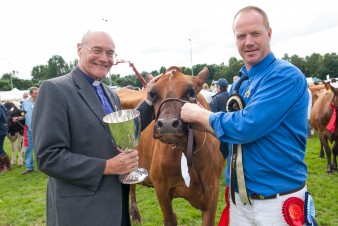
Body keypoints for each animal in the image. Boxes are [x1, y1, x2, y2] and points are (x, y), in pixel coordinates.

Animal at [116, 66, 224, 226]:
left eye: (191, 92)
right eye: (152, 94)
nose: (167, 124)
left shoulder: (212, 191)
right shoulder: (161, 188)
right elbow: (170, 218)